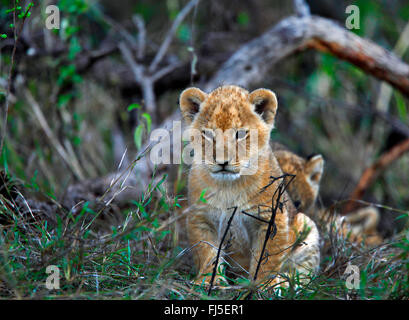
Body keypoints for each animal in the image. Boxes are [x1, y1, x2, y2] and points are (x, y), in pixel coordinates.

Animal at [178, 85, 318, 288]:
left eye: (240, 134)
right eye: (209, 134)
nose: (222, 162)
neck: (229, 187)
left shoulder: (272, 218)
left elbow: (266, 259)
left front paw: (262, 286)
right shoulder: (201, 218)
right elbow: (206, 252)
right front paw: (208, 281)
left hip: (306, 225)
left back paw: (288, 284)